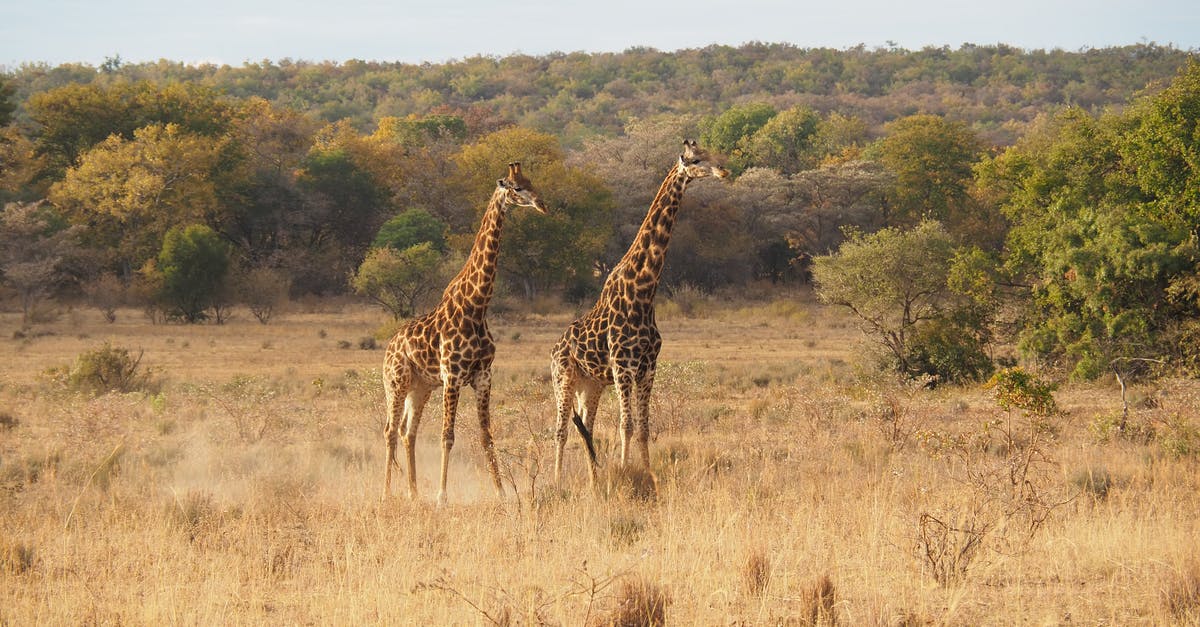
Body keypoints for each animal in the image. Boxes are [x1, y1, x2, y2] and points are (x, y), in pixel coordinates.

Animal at [384, 160, 549, 502]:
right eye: (516, 188)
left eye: (531, 182)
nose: (542, 204)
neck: (476, 306)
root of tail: (388, 348)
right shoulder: (453, 375)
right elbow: (447, 435)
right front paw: (442, 497)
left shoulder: (483, 376)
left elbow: (487, 436)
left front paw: (501, 493)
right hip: (396, 382)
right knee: (390, 430)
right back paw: (386, 493)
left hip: (421, 387)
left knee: (408, 432)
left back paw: (413, 493)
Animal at [549, 140, 724, 482]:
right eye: (696, 160)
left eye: (712, 153)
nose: (724, 170)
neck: (643, 290)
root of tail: (554, 348)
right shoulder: (623, 366)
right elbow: (626, 426)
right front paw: (626, 471)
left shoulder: (648, 367)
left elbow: (643, 427)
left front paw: (648, 474)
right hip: (563, 378)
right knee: (561, 430)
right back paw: (557, 481)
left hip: (591, 384)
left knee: (585, 427)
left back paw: (593, 480)